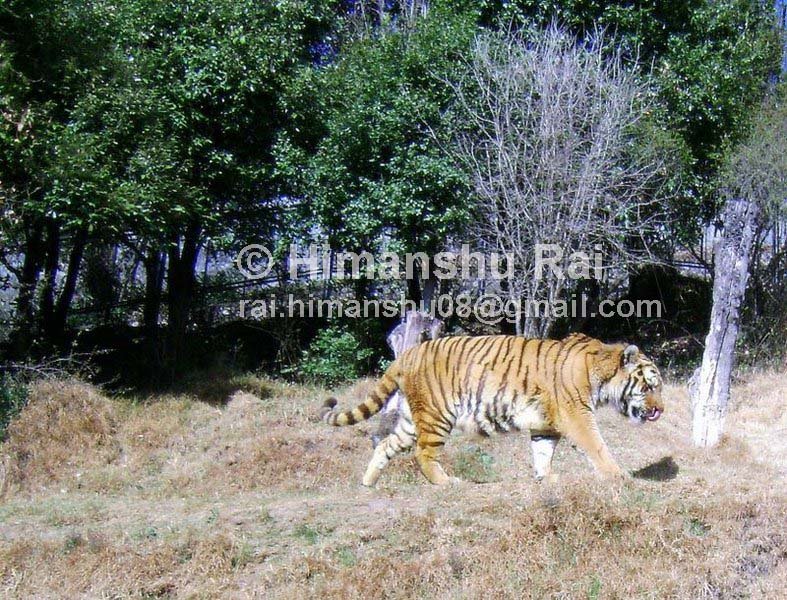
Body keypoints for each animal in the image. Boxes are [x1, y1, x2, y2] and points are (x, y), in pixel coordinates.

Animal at [320, 332, 664, 488]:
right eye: (650, 387)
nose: (661, 410)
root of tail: (408, 352)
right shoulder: (578, 416)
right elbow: (598, 446)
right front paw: (619, 476)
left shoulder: (545, 424)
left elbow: (543, 452)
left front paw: (545, 477)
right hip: (436, 415)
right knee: (423, 453)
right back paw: (446, 482)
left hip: (410, 420)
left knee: (386, 445)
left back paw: (368, 483)